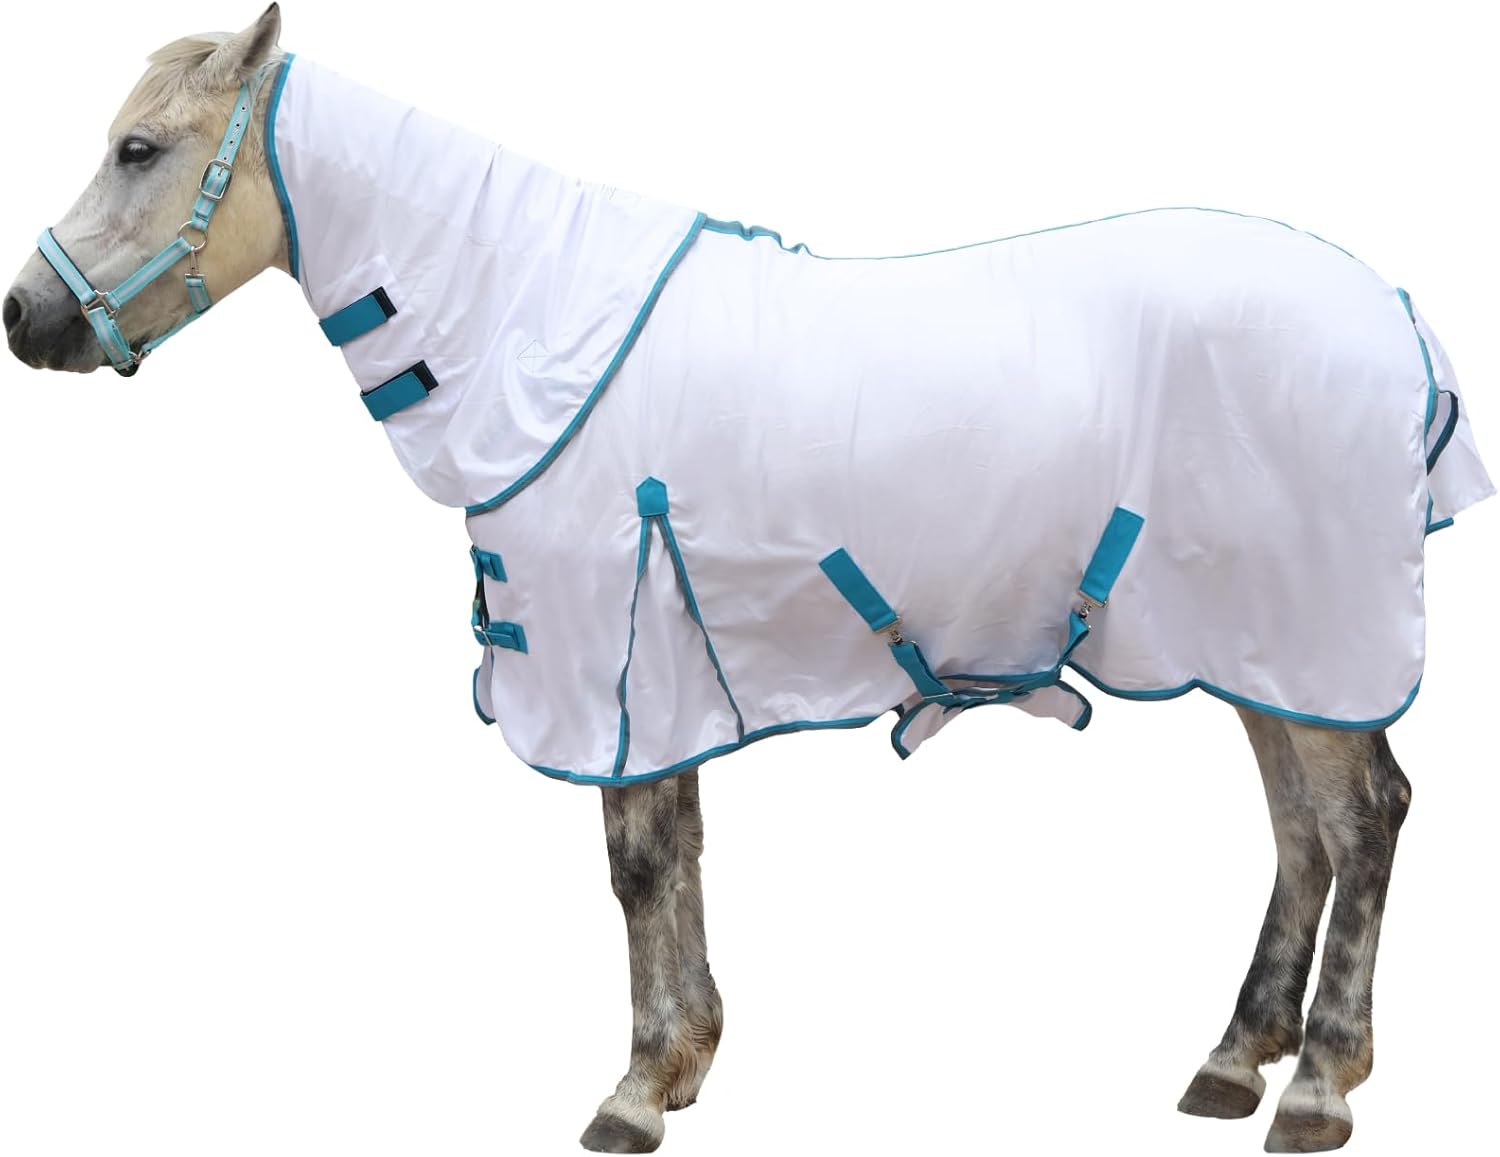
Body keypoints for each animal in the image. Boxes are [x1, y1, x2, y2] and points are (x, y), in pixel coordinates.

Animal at [4, 7, 1493, 1153]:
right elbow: (673, 855)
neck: (529, 319)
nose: (28, 317)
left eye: (139, 149)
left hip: (1310, 641)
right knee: (1301, 832)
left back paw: (1317, 1084)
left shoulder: (612, 663)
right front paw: (684, 1061)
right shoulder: (653, 673)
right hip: (1262, 649)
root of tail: (1395, 314)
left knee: (1362, 822)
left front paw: (636, 1086)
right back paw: (1235, 1058)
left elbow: (635, 865)